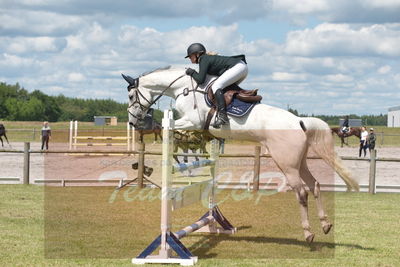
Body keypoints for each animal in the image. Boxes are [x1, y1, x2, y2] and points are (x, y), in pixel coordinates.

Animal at [122, 66, 360, 243]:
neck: (185, 88)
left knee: (301, 192)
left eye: (131, 95)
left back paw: (309, 233)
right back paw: (326, 224)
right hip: (299, 162)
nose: (133, 121)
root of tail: (299, 121)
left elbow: (170, 127)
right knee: (315, 185)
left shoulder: (192, 121)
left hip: (286, 163)